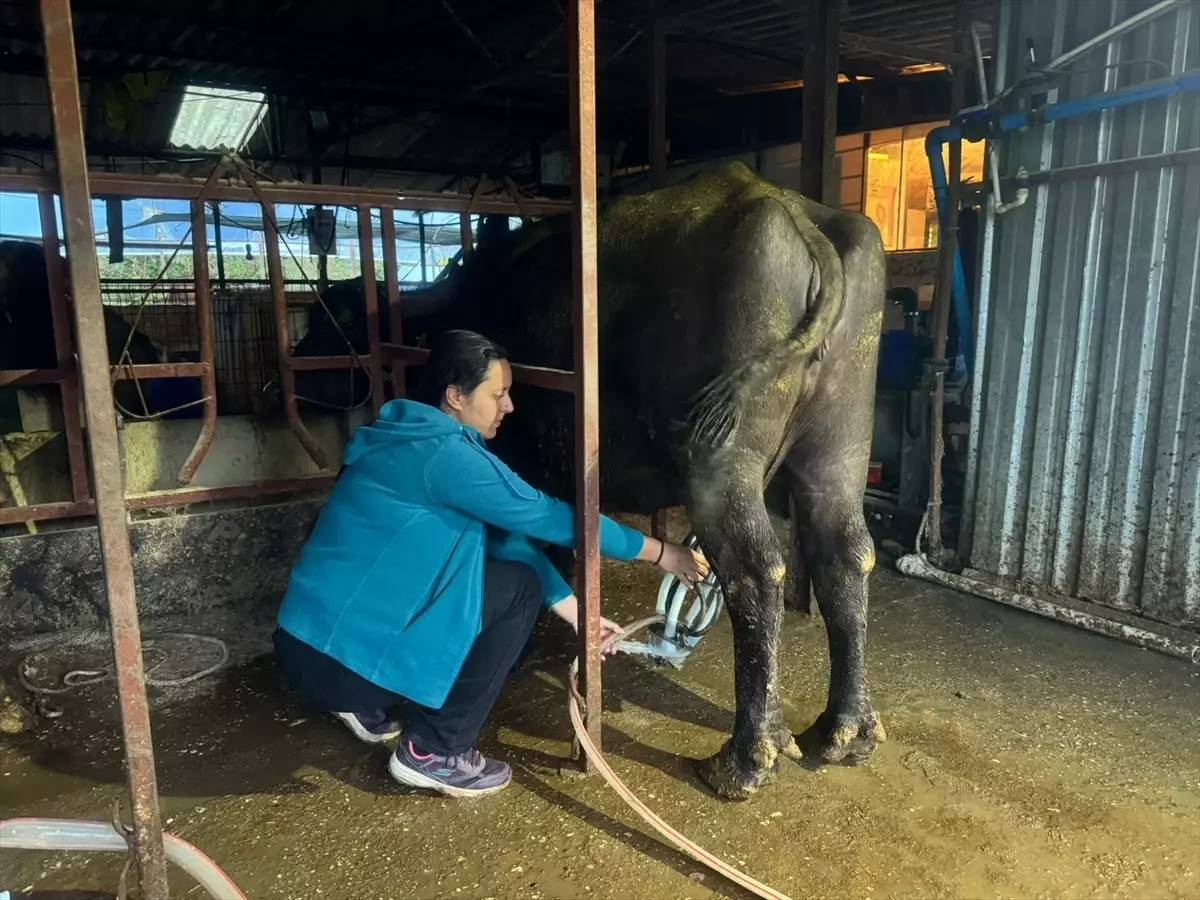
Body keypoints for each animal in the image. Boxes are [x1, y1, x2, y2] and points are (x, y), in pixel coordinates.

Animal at [292, 164, 892, 801]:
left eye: (337, 320)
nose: (296, 379)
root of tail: (789, 209)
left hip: (723, 467)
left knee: (755, 573)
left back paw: (747, 757)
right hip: (839, 449)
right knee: (845, 556)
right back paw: (843, 730)